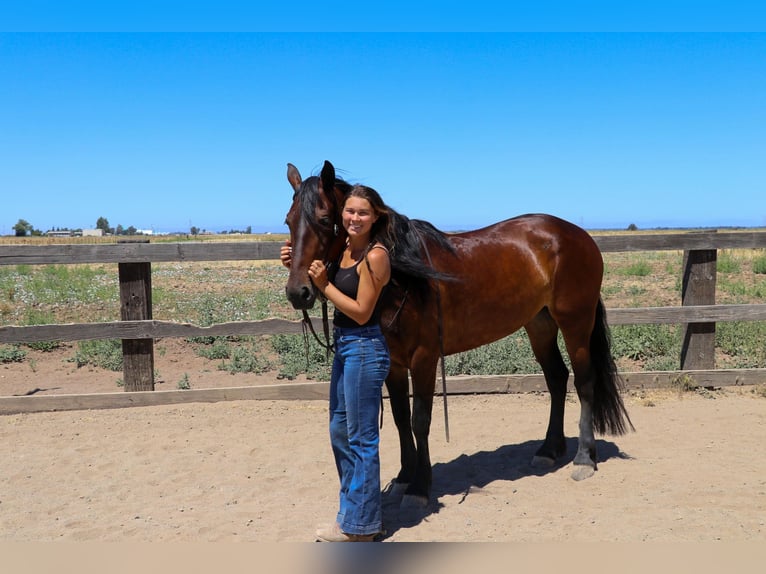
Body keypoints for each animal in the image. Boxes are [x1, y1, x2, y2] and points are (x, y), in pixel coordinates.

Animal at [283, 160, 633, 505]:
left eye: (324, 219)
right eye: (288, 221)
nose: (298, 292)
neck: (401, 275)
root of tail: (579, 235)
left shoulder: (424, 359)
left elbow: (419, 420)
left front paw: (419, 488)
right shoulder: (393, 363)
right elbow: (399, 418)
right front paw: (404, 477)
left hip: (576, 322)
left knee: (584, 382)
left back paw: (584, 459)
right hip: (539, 324)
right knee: (557, 378)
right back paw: (549, 450)